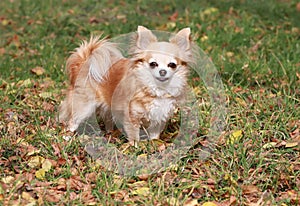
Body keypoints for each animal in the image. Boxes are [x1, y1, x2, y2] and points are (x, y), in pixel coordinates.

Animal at [59, 25, 195, 145]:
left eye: (172, 65)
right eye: (153, 64)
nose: (162, 71)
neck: (156, 89)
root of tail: (84, 62)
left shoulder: (159, 119)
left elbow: (154, 136)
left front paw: (154, 146)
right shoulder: (132, 117)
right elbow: (134, 136)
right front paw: (134, 148)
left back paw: (110, 133)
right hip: (84, 107)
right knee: (72, 122)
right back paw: (67, 137)